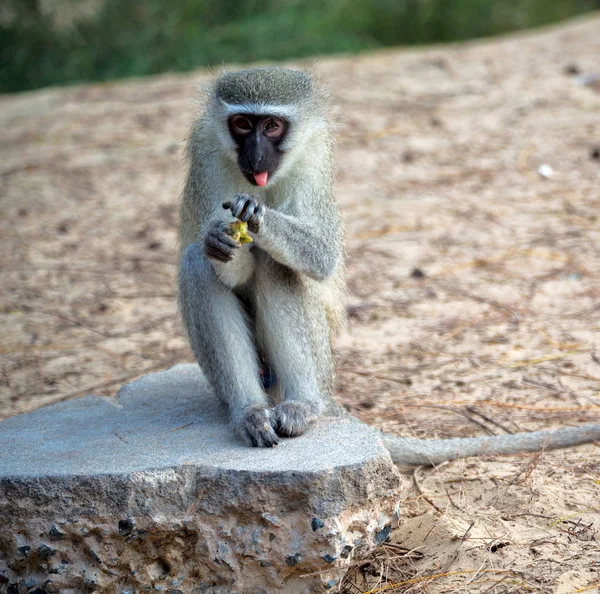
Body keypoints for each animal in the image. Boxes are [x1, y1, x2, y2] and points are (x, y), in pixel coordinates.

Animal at [178, 65, 600, 462]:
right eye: (242, 124)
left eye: (271, 126)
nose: (254, 156)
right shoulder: (206, 153)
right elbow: (222, 262)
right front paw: (217, 238)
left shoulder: (315, 156)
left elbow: (321, 255)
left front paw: (257, 219)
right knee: (196, 265)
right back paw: (249, 413)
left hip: (321, 362)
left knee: (275, 263)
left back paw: (302, 405)